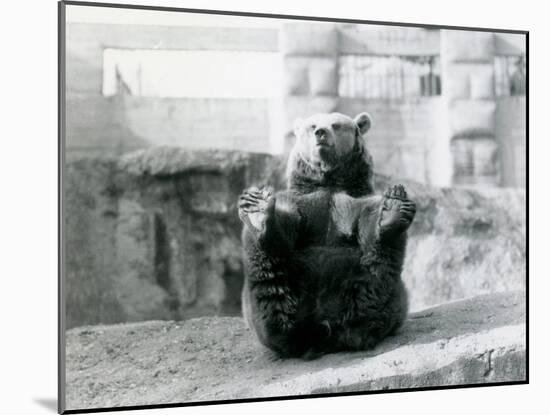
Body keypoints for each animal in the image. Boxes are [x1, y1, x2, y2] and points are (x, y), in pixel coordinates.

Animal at [239, 112, 416, 360]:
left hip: (374, 287)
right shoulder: (301, 203)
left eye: (336, 125)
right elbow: (287, 226)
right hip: (277, 290)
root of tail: (321, 330)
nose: (320, 133)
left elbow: (368, 223)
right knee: (270, 277)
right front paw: (259, 206)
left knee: (378, 269)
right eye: (312, 125)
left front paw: (392, 208)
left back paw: (396, 210)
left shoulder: (355, 202)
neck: (328, 182)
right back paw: (255, 209)